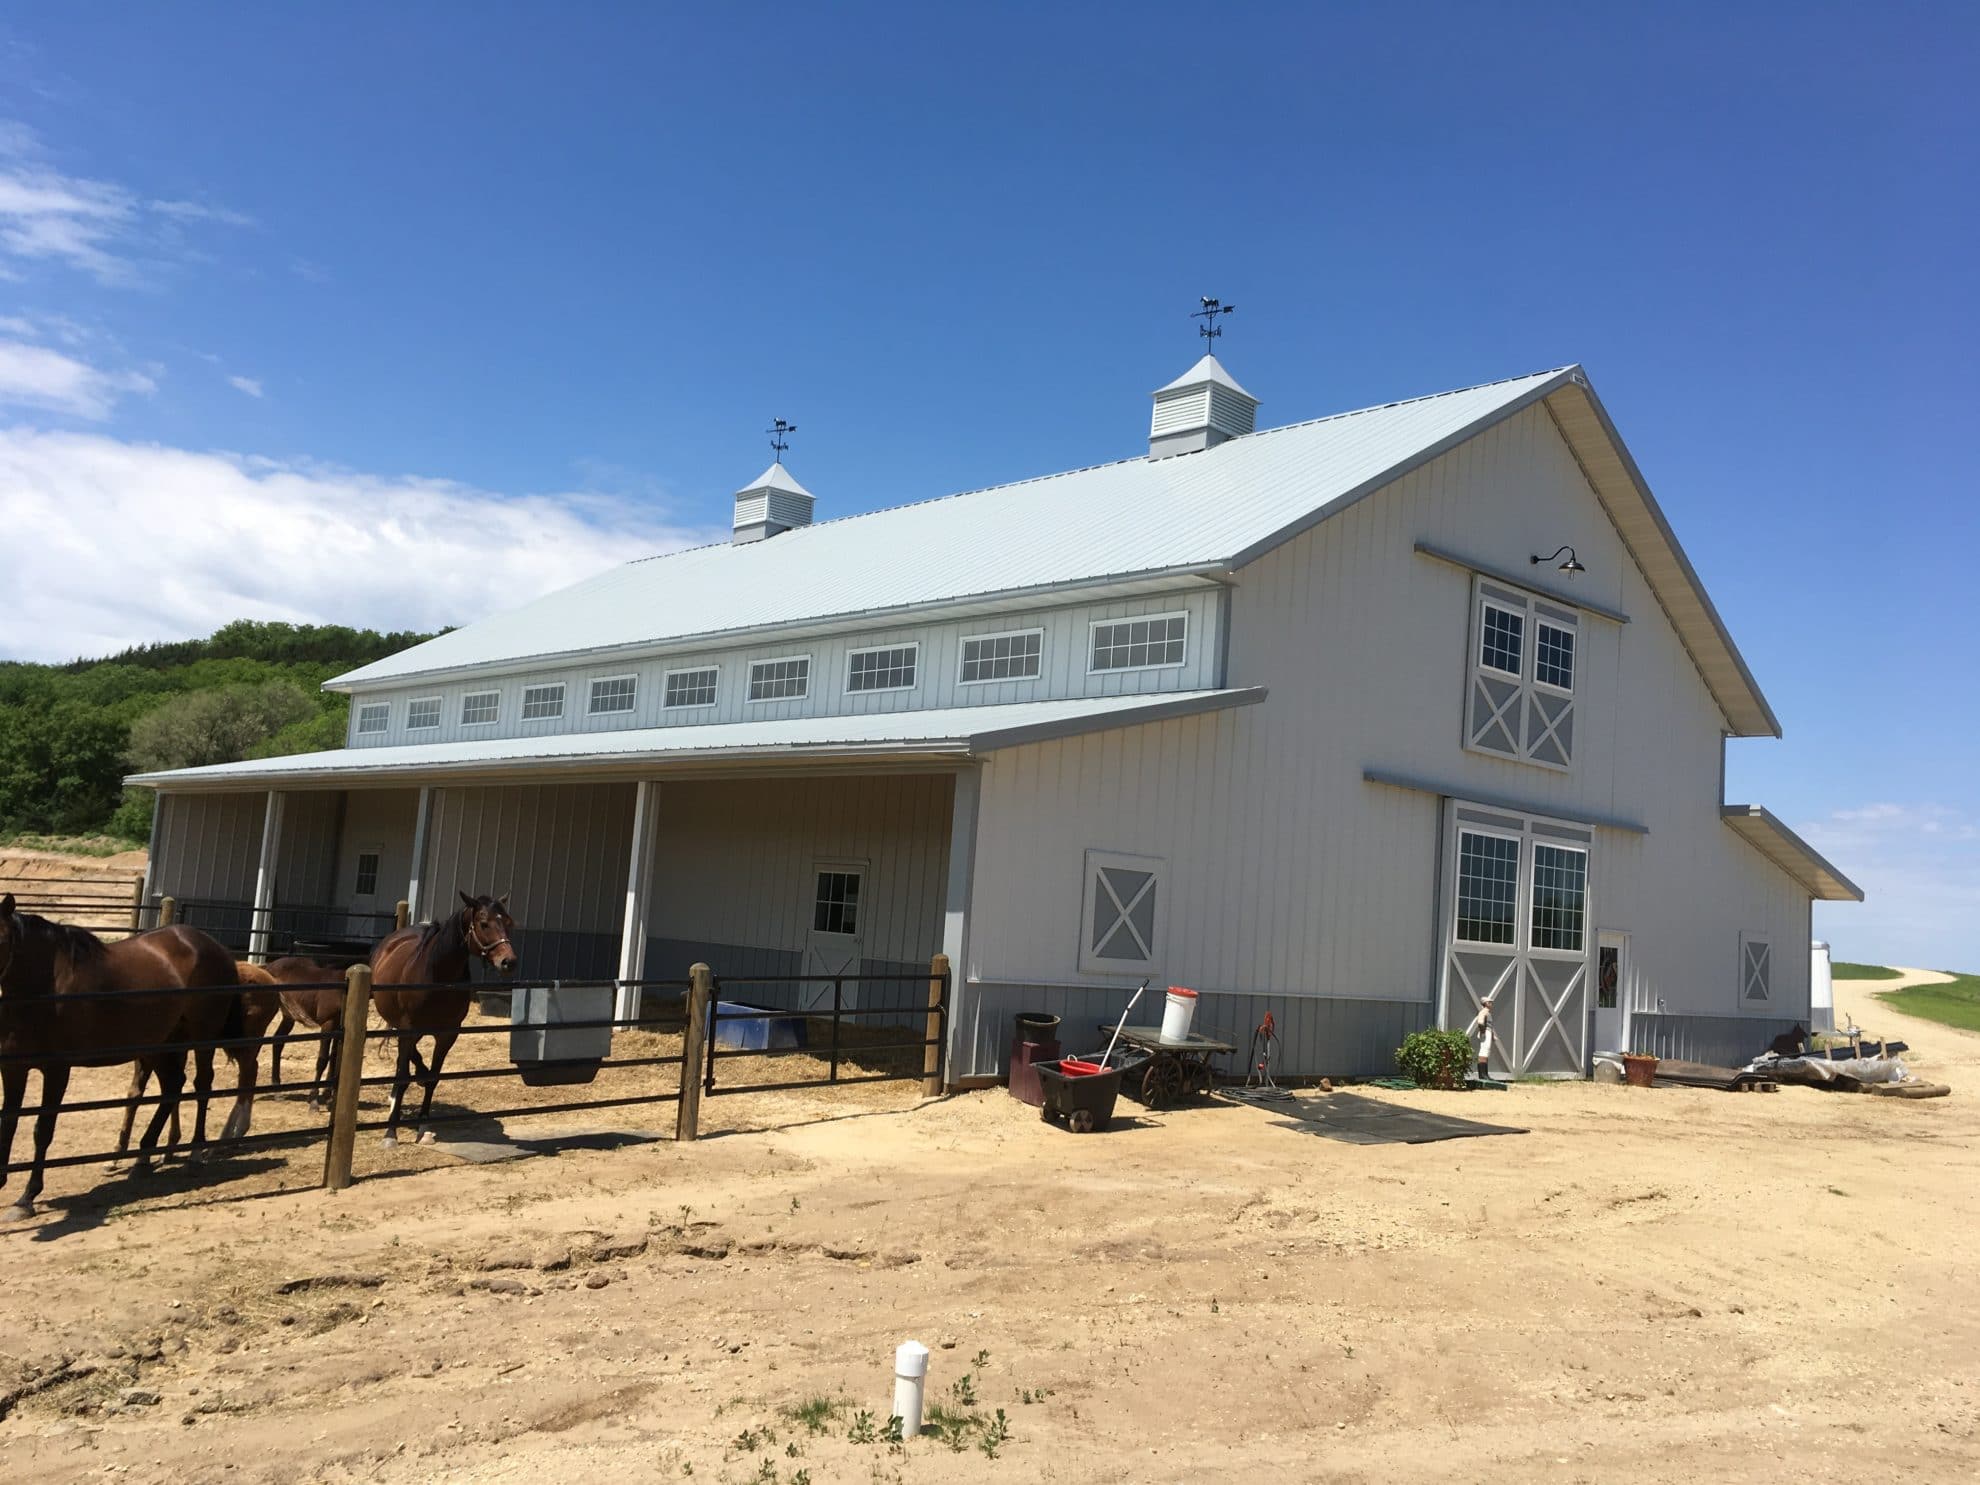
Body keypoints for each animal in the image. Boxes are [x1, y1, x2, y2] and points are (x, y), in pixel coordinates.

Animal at [0, 902, 251, 1227]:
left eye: (2, 940)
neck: (44, 989)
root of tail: (215, 947)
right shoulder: (13, 1068)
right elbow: (8, 1123)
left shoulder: (57, 1071)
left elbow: (42, 1130)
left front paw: (26, 1198)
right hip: (164, 1041)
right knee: (173, 1087)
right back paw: (144, 1157)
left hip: (201, 1038)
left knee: (201, 1085)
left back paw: (195, 1154)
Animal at [368, 894, 514, 1148]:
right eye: (484, 923)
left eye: (507, 921)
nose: (508, 961)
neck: (437, 975)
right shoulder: (408, 1028)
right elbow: (404, 1077)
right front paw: (390, 1134)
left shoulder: (447, 1034)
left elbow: (433, 1078)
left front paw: (423, 1128)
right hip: (401, 1025)